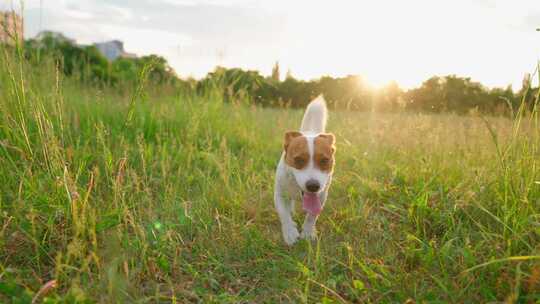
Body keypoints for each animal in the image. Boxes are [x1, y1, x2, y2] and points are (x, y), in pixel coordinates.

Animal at [276, 96, 336, 246]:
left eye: (324, 160)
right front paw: (290, 232)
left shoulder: (321, 196)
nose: (313, 186)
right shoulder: (280, 194)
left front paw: (308, 232)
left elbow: (312, 216)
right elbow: (284, 214)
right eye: (298, 160)